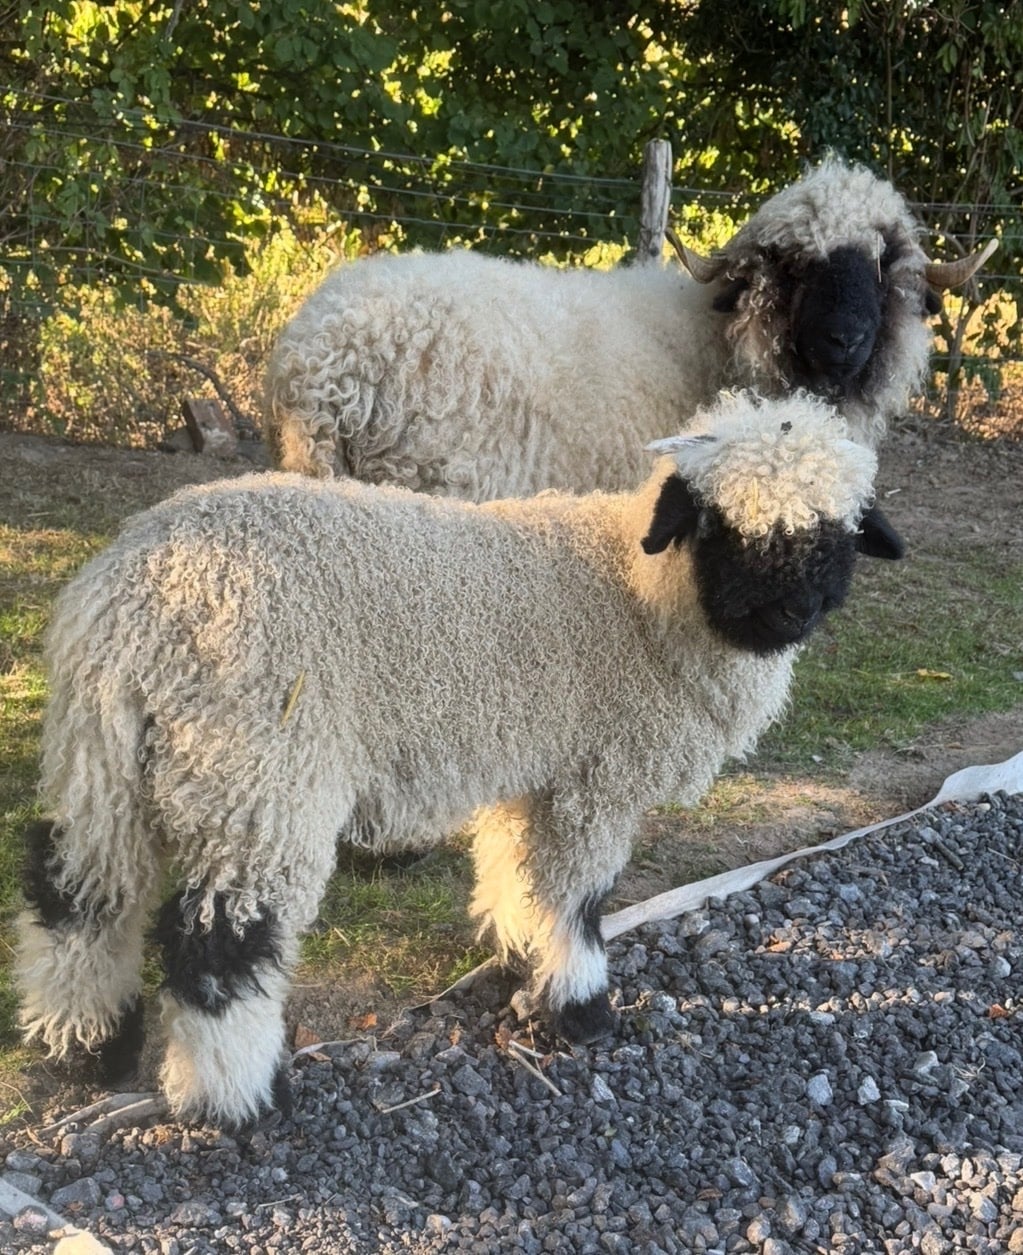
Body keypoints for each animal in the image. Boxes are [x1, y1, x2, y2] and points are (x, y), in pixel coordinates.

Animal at [16, 390, 904, 1128]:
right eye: (718, 526)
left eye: (837, 535)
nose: (788, 612)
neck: (639, 593)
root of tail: (142, 597)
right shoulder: (596, 777)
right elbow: (577, 895)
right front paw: (579, 1007)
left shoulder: (537, 764)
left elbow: (516, 869)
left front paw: (516, 959)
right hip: (256, 771)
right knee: (217, 940)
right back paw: (236, 1099)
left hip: (100, 754)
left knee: (79, 893)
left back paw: (84, 1049)